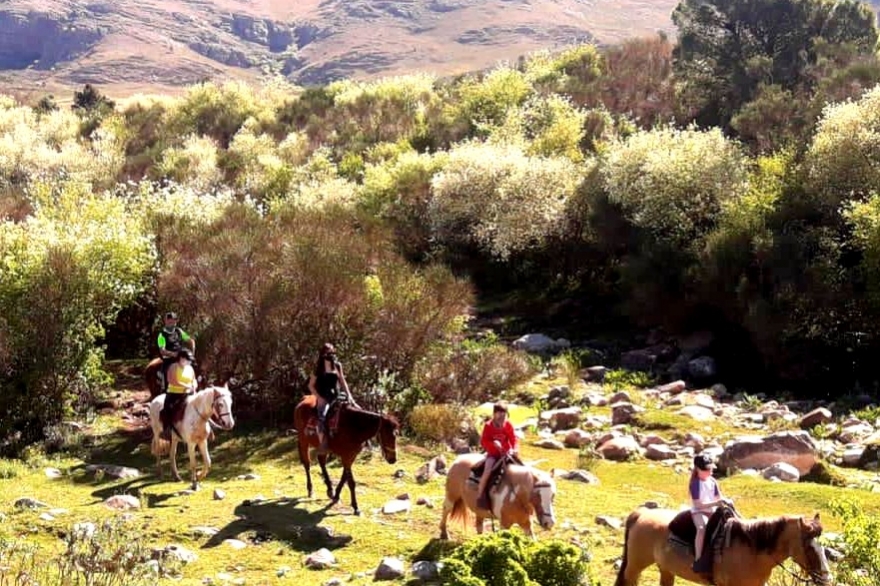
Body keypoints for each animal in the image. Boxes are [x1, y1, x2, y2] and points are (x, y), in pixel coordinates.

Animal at [616, 502, 828, 584]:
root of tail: (642, 513)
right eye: (809, 547)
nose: (826, 577)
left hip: (666, 569)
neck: (753, 551)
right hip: (635, 566)